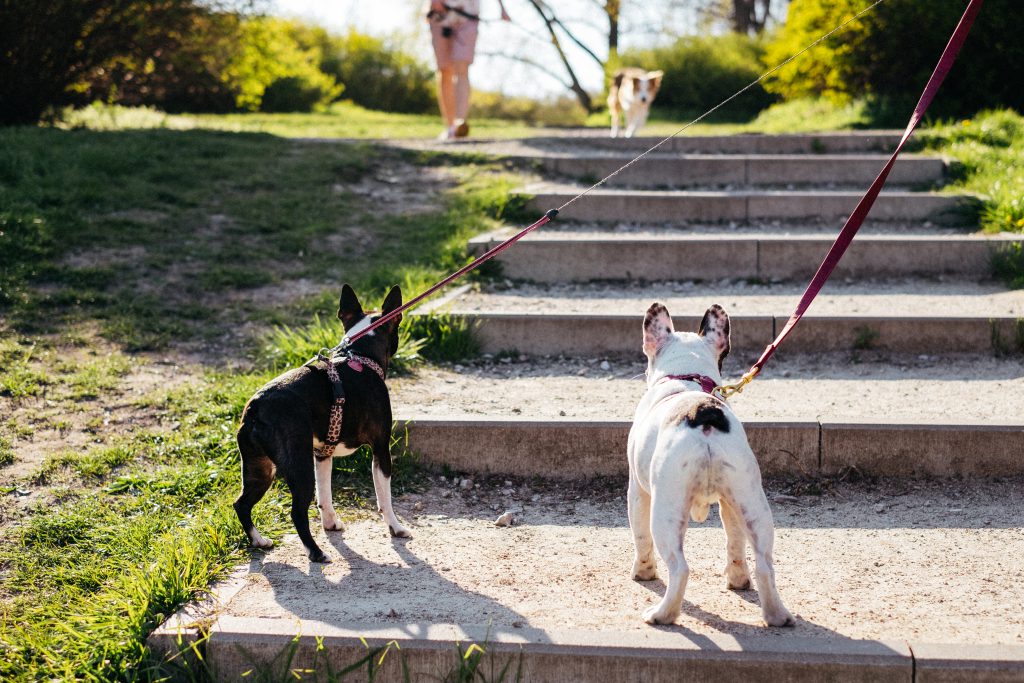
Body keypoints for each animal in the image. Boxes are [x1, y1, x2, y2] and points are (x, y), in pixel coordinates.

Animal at [234, 286, 409, 565]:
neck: (360, 356)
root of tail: (256, 407)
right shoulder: (381, 448)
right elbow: (384, 497)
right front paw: (396, 527)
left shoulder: (323, 454)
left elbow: (325, 493)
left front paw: (330, 524)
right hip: (298, 465)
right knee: (296, 512)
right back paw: (315, 552)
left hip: (259, 467)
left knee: (241, 503)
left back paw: (259, 540)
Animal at [622, 301, 790, 626]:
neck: (686, 377)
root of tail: (704, 413)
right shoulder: (729, 504)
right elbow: (734, 540)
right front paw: (738, 579)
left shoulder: (637, 491)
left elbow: (640, 536)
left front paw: (643, 572)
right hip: (751, 500)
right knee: (764, 562)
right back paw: (776, 614)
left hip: (667, 507)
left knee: (679, 567)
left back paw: (663, 614)